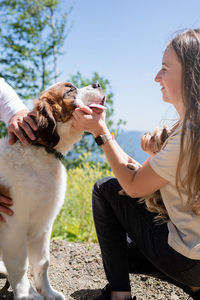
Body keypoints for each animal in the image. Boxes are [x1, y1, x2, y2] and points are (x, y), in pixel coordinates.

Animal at [0, 81, 106, 298]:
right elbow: (20, 265)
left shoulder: (43, 223)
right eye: (70, 91)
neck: (40, 150)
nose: (97, 83)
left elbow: (43, 262)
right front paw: (26, 295)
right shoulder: (13, 225)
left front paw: (48, 292)